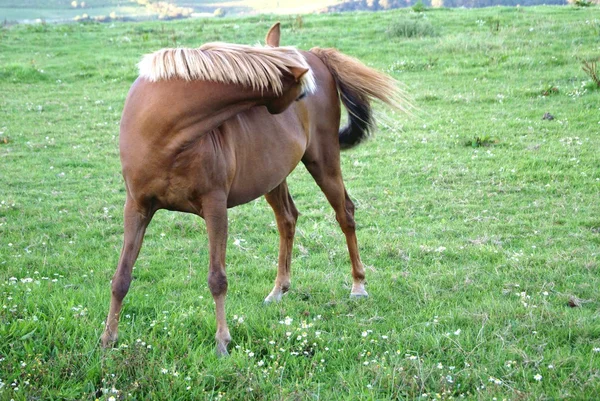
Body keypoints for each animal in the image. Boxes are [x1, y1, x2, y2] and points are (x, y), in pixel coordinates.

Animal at [101, 22, 410, 354]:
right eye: (300, 93)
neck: (163, 131)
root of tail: (315, 55)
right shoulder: (137, 207)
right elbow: (121, 277)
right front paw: (107, 339)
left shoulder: (215, 207)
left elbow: (217, 278)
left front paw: (222, 342)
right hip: (273, 177)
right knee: (288, 219)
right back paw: (279, 290)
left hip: (323, 161)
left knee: (345, 214)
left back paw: (358, 285)